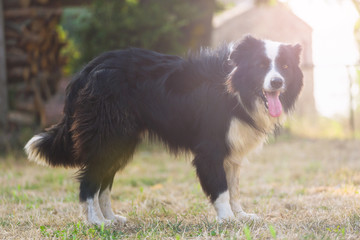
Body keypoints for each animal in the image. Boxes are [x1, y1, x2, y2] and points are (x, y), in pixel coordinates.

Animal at [23, 35, 302, 225]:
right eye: (261, 66)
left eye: (285, 67)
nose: (277, 82)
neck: (235, 88)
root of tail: (87, 69)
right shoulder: (210, 147)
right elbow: (221, 188)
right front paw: (227, 219)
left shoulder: (232, 149)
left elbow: (234, 188)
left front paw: (241, 215)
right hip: (109, 135)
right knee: (89, 181)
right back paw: (97, 222)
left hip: (121, 140)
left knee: (104, 182)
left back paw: (112, 218)